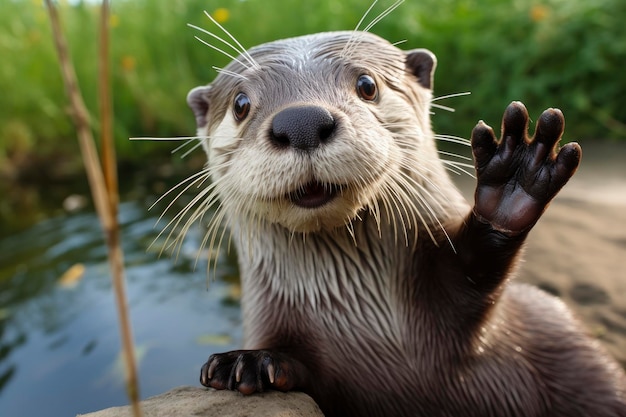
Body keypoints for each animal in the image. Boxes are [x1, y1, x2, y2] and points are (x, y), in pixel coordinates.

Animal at [182, 30, 624, 416]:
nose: (301, 121)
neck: (370, 322)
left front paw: (513, 182)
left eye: (367, 84)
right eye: (240, 104)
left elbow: (473, 279)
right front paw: (249, 362)